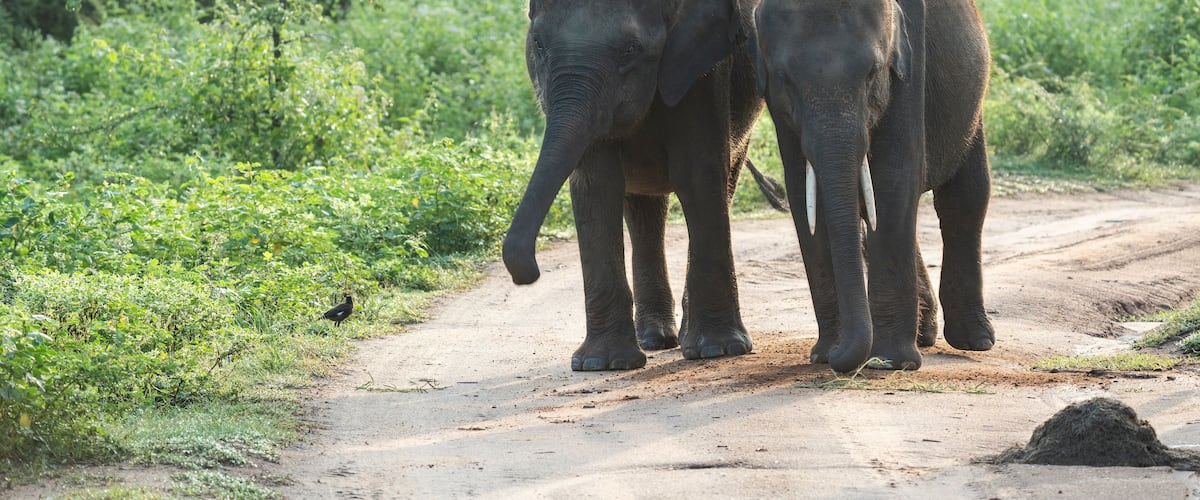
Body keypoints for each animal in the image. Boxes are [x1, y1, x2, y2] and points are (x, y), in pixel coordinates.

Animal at [502, 0, 771, 371]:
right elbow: (597, 185)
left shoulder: (704, 70)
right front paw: (600, 363)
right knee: (644, 209)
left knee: (720, 182)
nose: (526, 275)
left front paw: (718, 350)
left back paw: (687, 339)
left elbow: (697, 174)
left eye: (630, 49)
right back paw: (654, 339)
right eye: (538, 43)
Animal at [737, 0, 997, 372]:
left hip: (971, 111)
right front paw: (825, 354)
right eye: (785, 79)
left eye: (873, 73)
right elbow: (802, 187)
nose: (838, 359)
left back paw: (975, 340)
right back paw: (923, 335)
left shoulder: (909, 60)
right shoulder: (776, 101)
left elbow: (893, 174)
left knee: (965, 200)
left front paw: (888, 362)